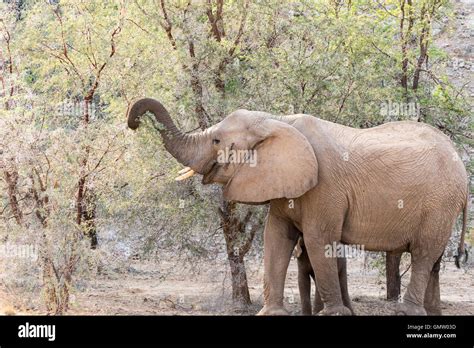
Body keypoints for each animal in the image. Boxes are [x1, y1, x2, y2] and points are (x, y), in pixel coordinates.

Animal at [127, 97, 470, 316]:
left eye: (216, 142)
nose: (132, 123)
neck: (277, 121)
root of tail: (462, 167)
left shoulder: (325, 188)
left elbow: (319, 242)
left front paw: (333, 314)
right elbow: (276, 239)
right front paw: (271, 313)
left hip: (440, 203)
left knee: (424, 253)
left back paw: (409, 312)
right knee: (434, 259)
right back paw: (432, 313)